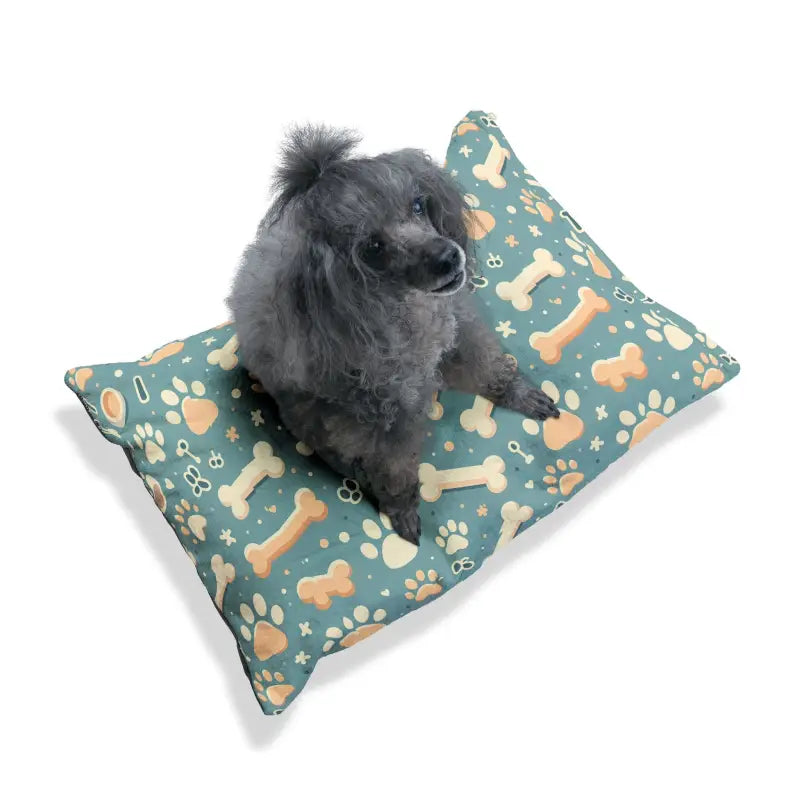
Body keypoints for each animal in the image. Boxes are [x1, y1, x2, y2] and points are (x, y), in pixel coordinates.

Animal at [229, 125, 559, 544]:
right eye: (373, 247)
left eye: (418, 205)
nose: (448, 257)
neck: (408, 312)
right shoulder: (386, 418)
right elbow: (396, 468)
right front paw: (401, 510)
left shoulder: (461, 332)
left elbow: (490, 368)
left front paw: (520, 394)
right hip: (316, 415)